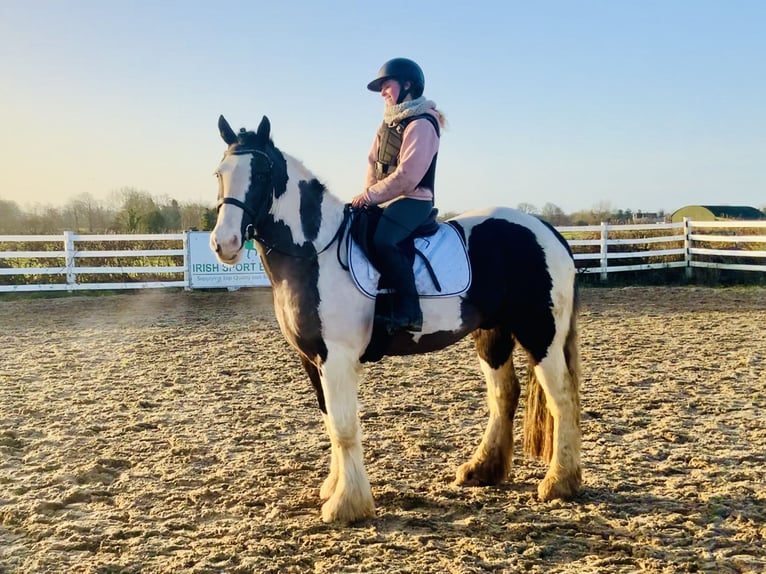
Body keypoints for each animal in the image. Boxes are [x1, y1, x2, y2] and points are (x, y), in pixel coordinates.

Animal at [210, 116, 584, 528]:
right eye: (219, 173)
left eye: (262, 173)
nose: (224, 243)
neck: (314, 253)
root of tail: (548, 231)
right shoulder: (311, 359)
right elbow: (329, 422)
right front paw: (333, 488)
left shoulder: (337, 359)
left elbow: (344, 427)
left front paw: (347, 504)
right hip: (493, 334)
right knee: (504, 395)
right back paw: (481, 470)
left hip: (541, 334)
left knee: (561, 398)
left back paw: (559, 482)